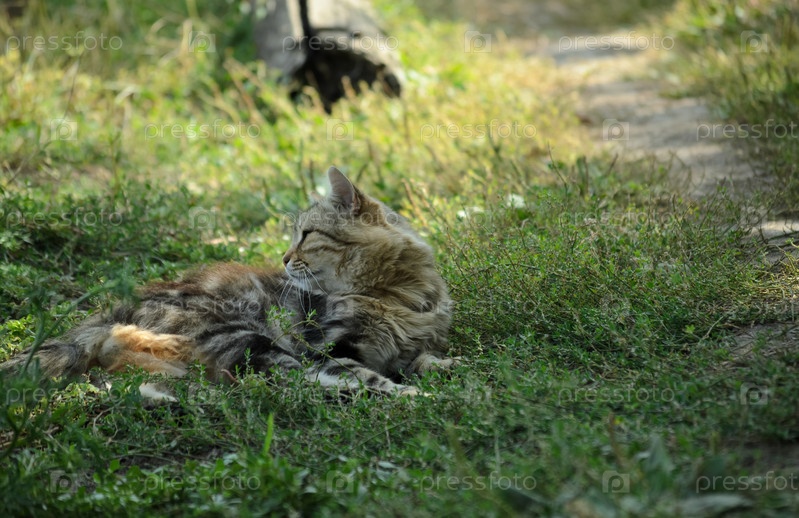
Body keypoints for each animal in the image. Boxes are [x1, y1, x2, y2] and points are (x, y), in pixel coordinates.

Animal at [1, 167, 455, 397]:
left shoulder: (403, 348)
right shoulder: (326, 347)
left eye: (305, 235)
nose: (284, 259)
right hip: (245, 334)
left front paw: (449, 369)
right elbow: (364, 374)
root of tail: (112, 310)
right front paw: (414, 395)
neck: (393, 294)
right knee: (284, 378)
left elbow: (422, 361)